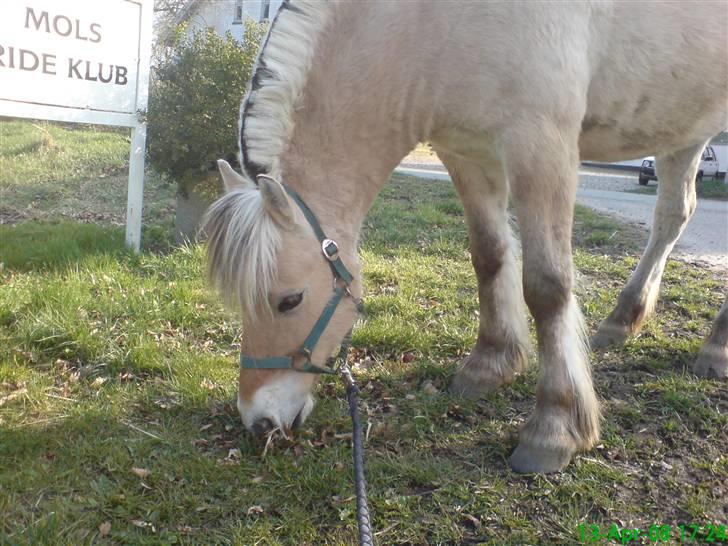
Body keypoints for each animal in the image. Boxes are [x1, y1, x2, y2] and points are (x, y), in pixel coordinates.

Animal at [203, 1, 728, 472]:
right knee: (673, 215)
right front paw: (490, 364)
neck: (436, 20)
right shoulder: (466, 151)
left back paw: (715, 348)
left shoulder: (542, 148)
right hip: (684, 128)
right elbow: (489, 257)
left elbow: (547, 287)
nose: (259, 420)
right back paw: (623, 320)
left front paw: (554, 428)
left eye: (289, 300)